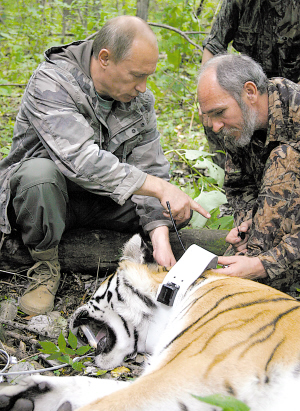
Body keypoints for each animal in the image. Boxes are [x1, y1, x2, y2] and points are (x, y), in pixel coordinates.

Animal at [0, 235, 300, 411]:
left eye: (95, 294)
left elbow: (109, 402)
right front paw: (21, 392)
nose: (71, 317)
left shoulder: (187, 374)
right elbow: (88, 385)